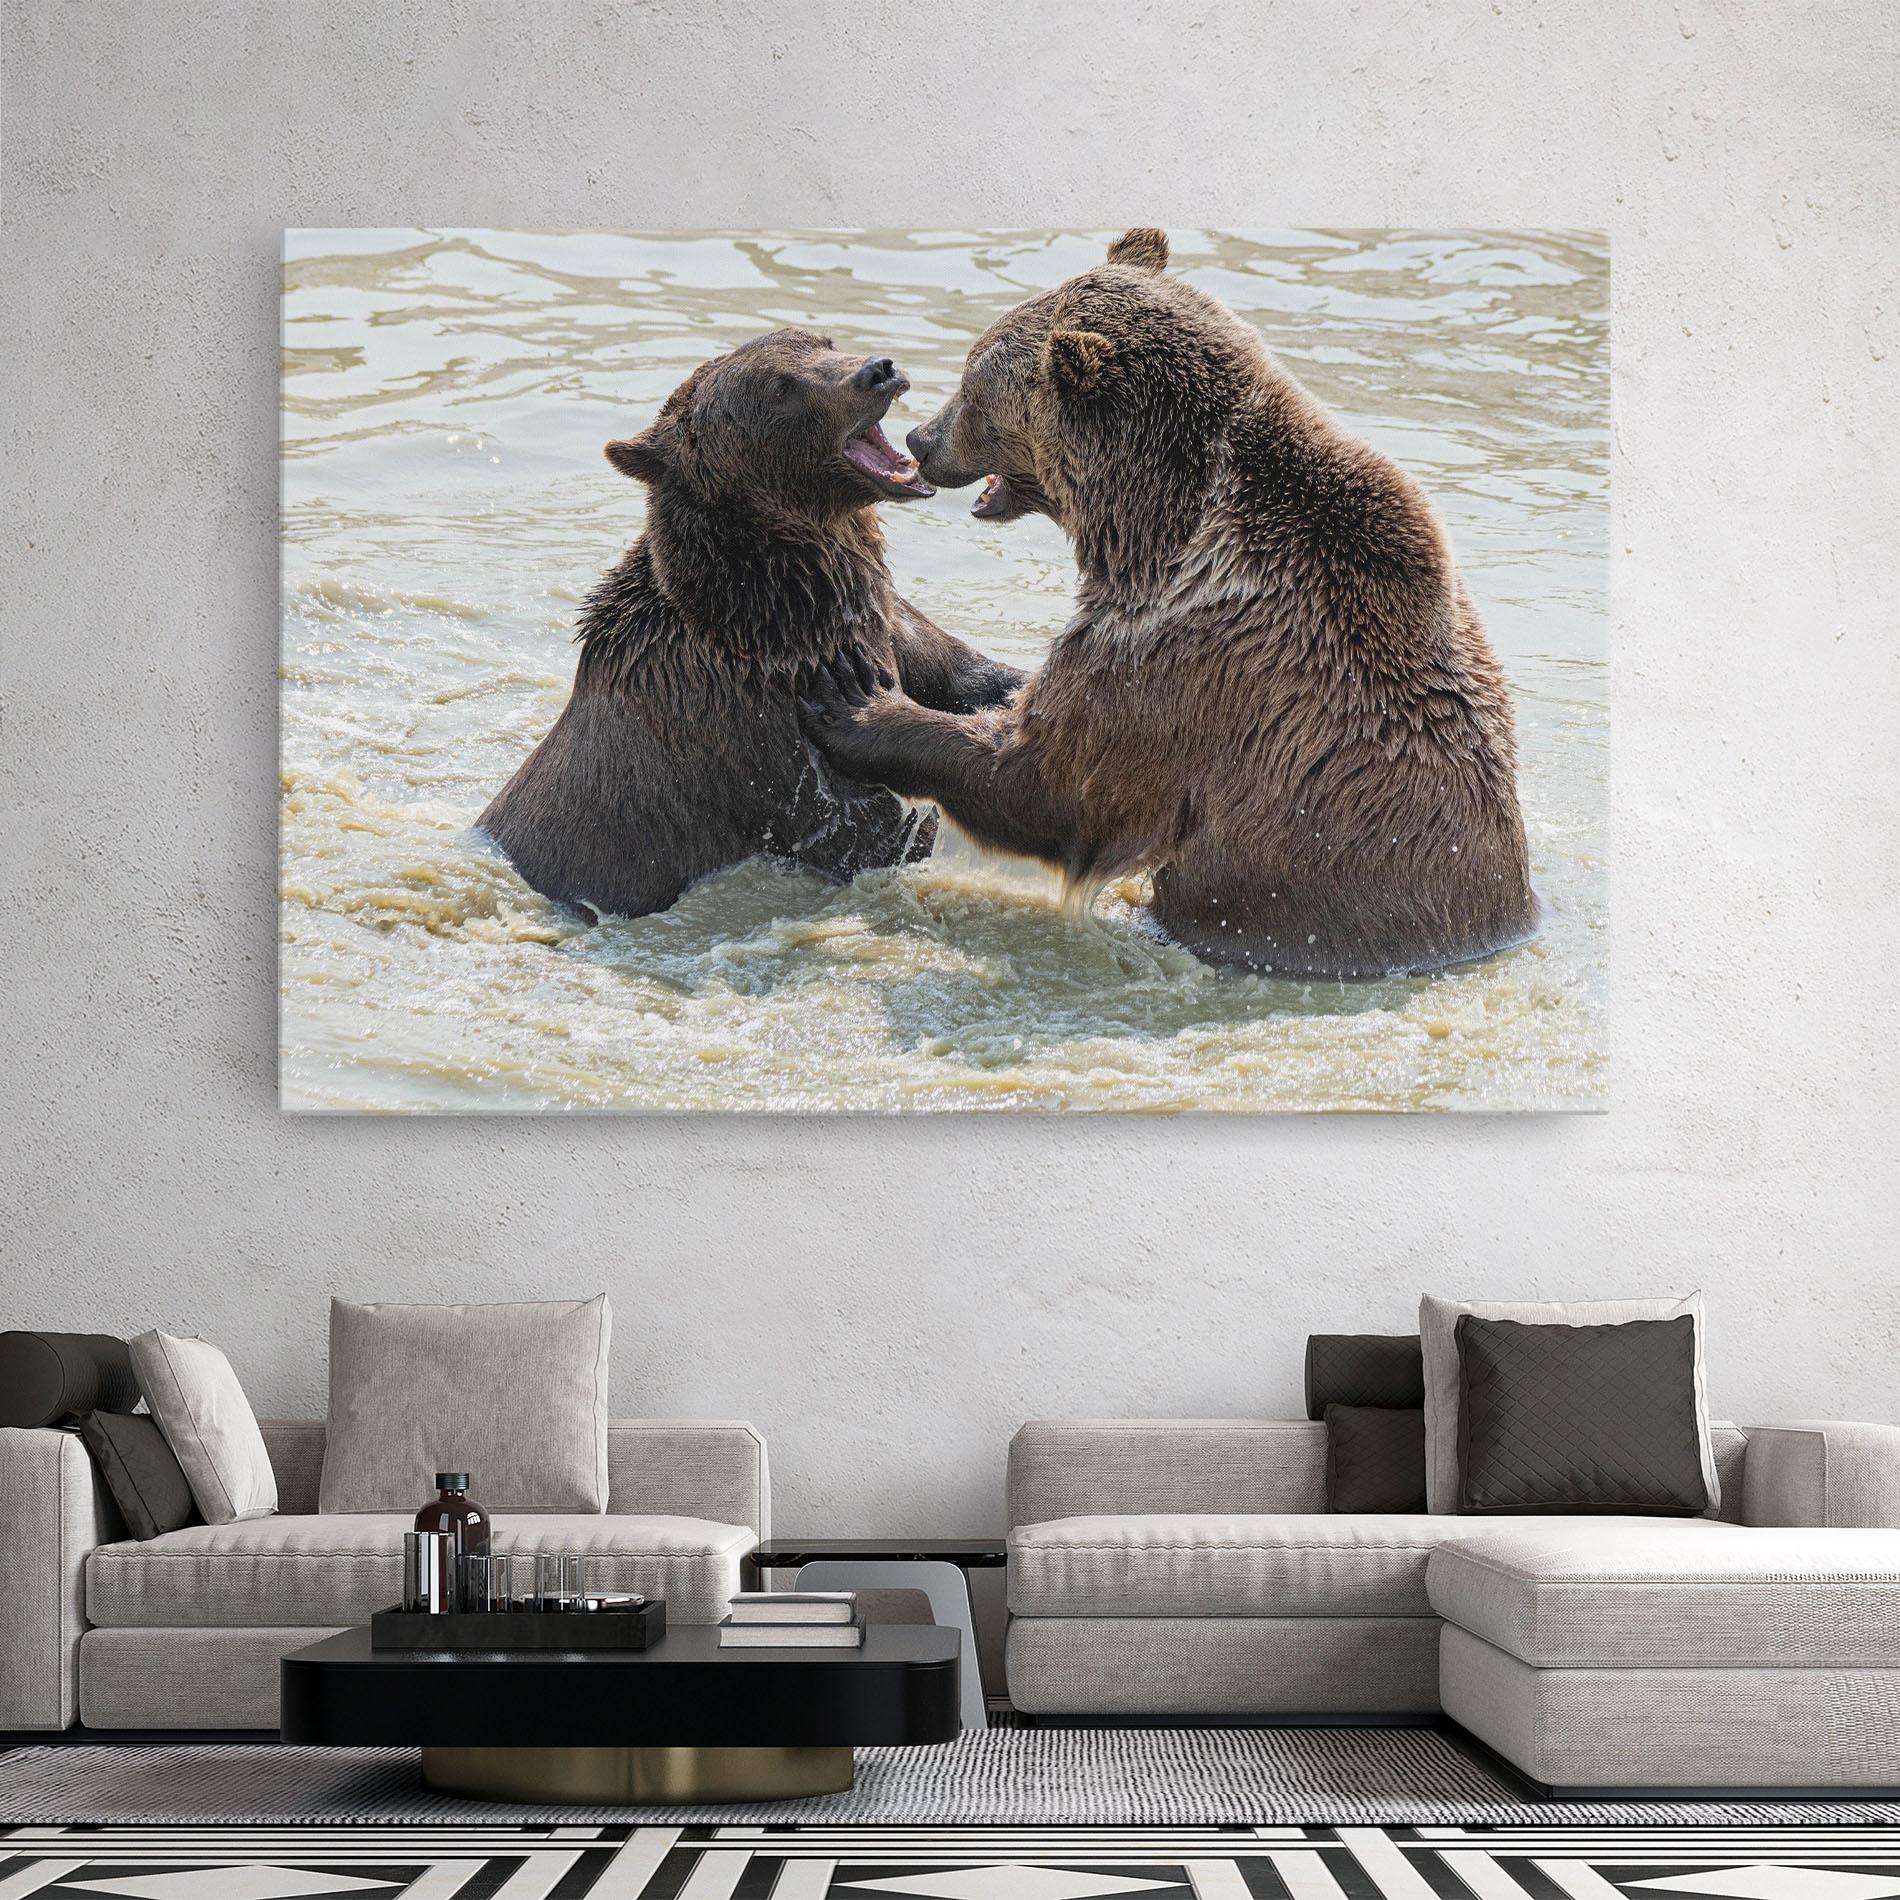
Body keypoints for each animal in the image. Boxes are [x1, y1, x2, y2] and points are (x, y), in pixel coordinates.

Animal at [477, 328, 1024, 921]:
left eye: (822, 341)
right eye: (781, 388)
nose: (878, 370)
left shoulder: (886, 621)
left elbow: (966, 673)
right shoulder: (758, 731)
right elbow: (867, 827)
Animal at [797, 230, 1538, 980]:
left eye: (974, 387)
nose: (922, 439)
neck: (1153, 527)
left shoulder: (1180, 656)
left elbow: (1049, 780)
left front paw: (857, 703)